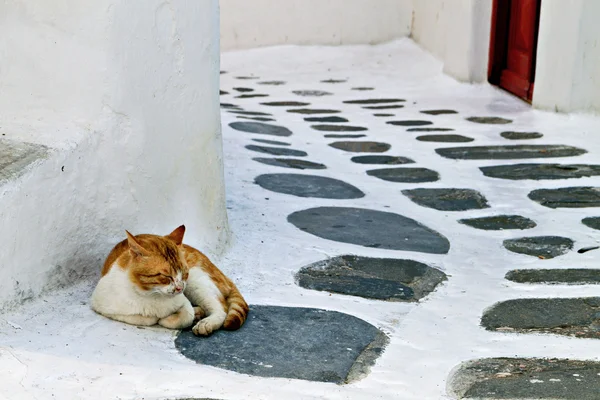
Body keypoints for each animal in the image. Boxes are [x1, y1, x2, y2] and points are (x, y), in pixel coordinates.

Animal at [89, 225, 248, 334]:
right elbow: (142, 317)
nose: (179, 288)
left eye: (184, 273)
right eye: (166, 276)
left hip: (197, 282)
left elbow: (186, 315)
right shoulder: (101, 304)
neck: (151, 295)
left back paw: (206, 322)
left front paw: (170, 318)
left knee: (222, 307)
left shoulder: (183, 300)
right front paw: (155, 317)